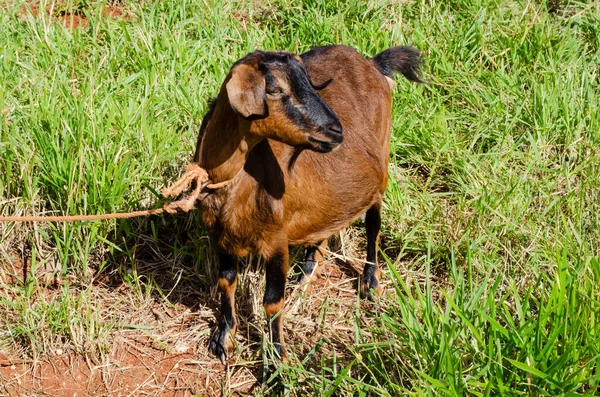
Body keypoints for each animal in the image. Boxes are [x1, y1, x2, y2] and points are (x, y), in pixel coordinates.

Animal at [193, 44, 422, 360]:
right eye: (274, 89)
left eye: (307, 81)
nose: (337, 131)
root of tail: (375, 64)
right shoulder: (221, 236)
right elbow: (226, 281)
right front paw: (223, 339)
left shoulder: (277, 240)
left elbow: (272, 301)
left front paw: (277, 360)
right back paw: (308, 271)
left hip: (382, 171)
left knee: (374, 226)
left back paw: (370, 282)